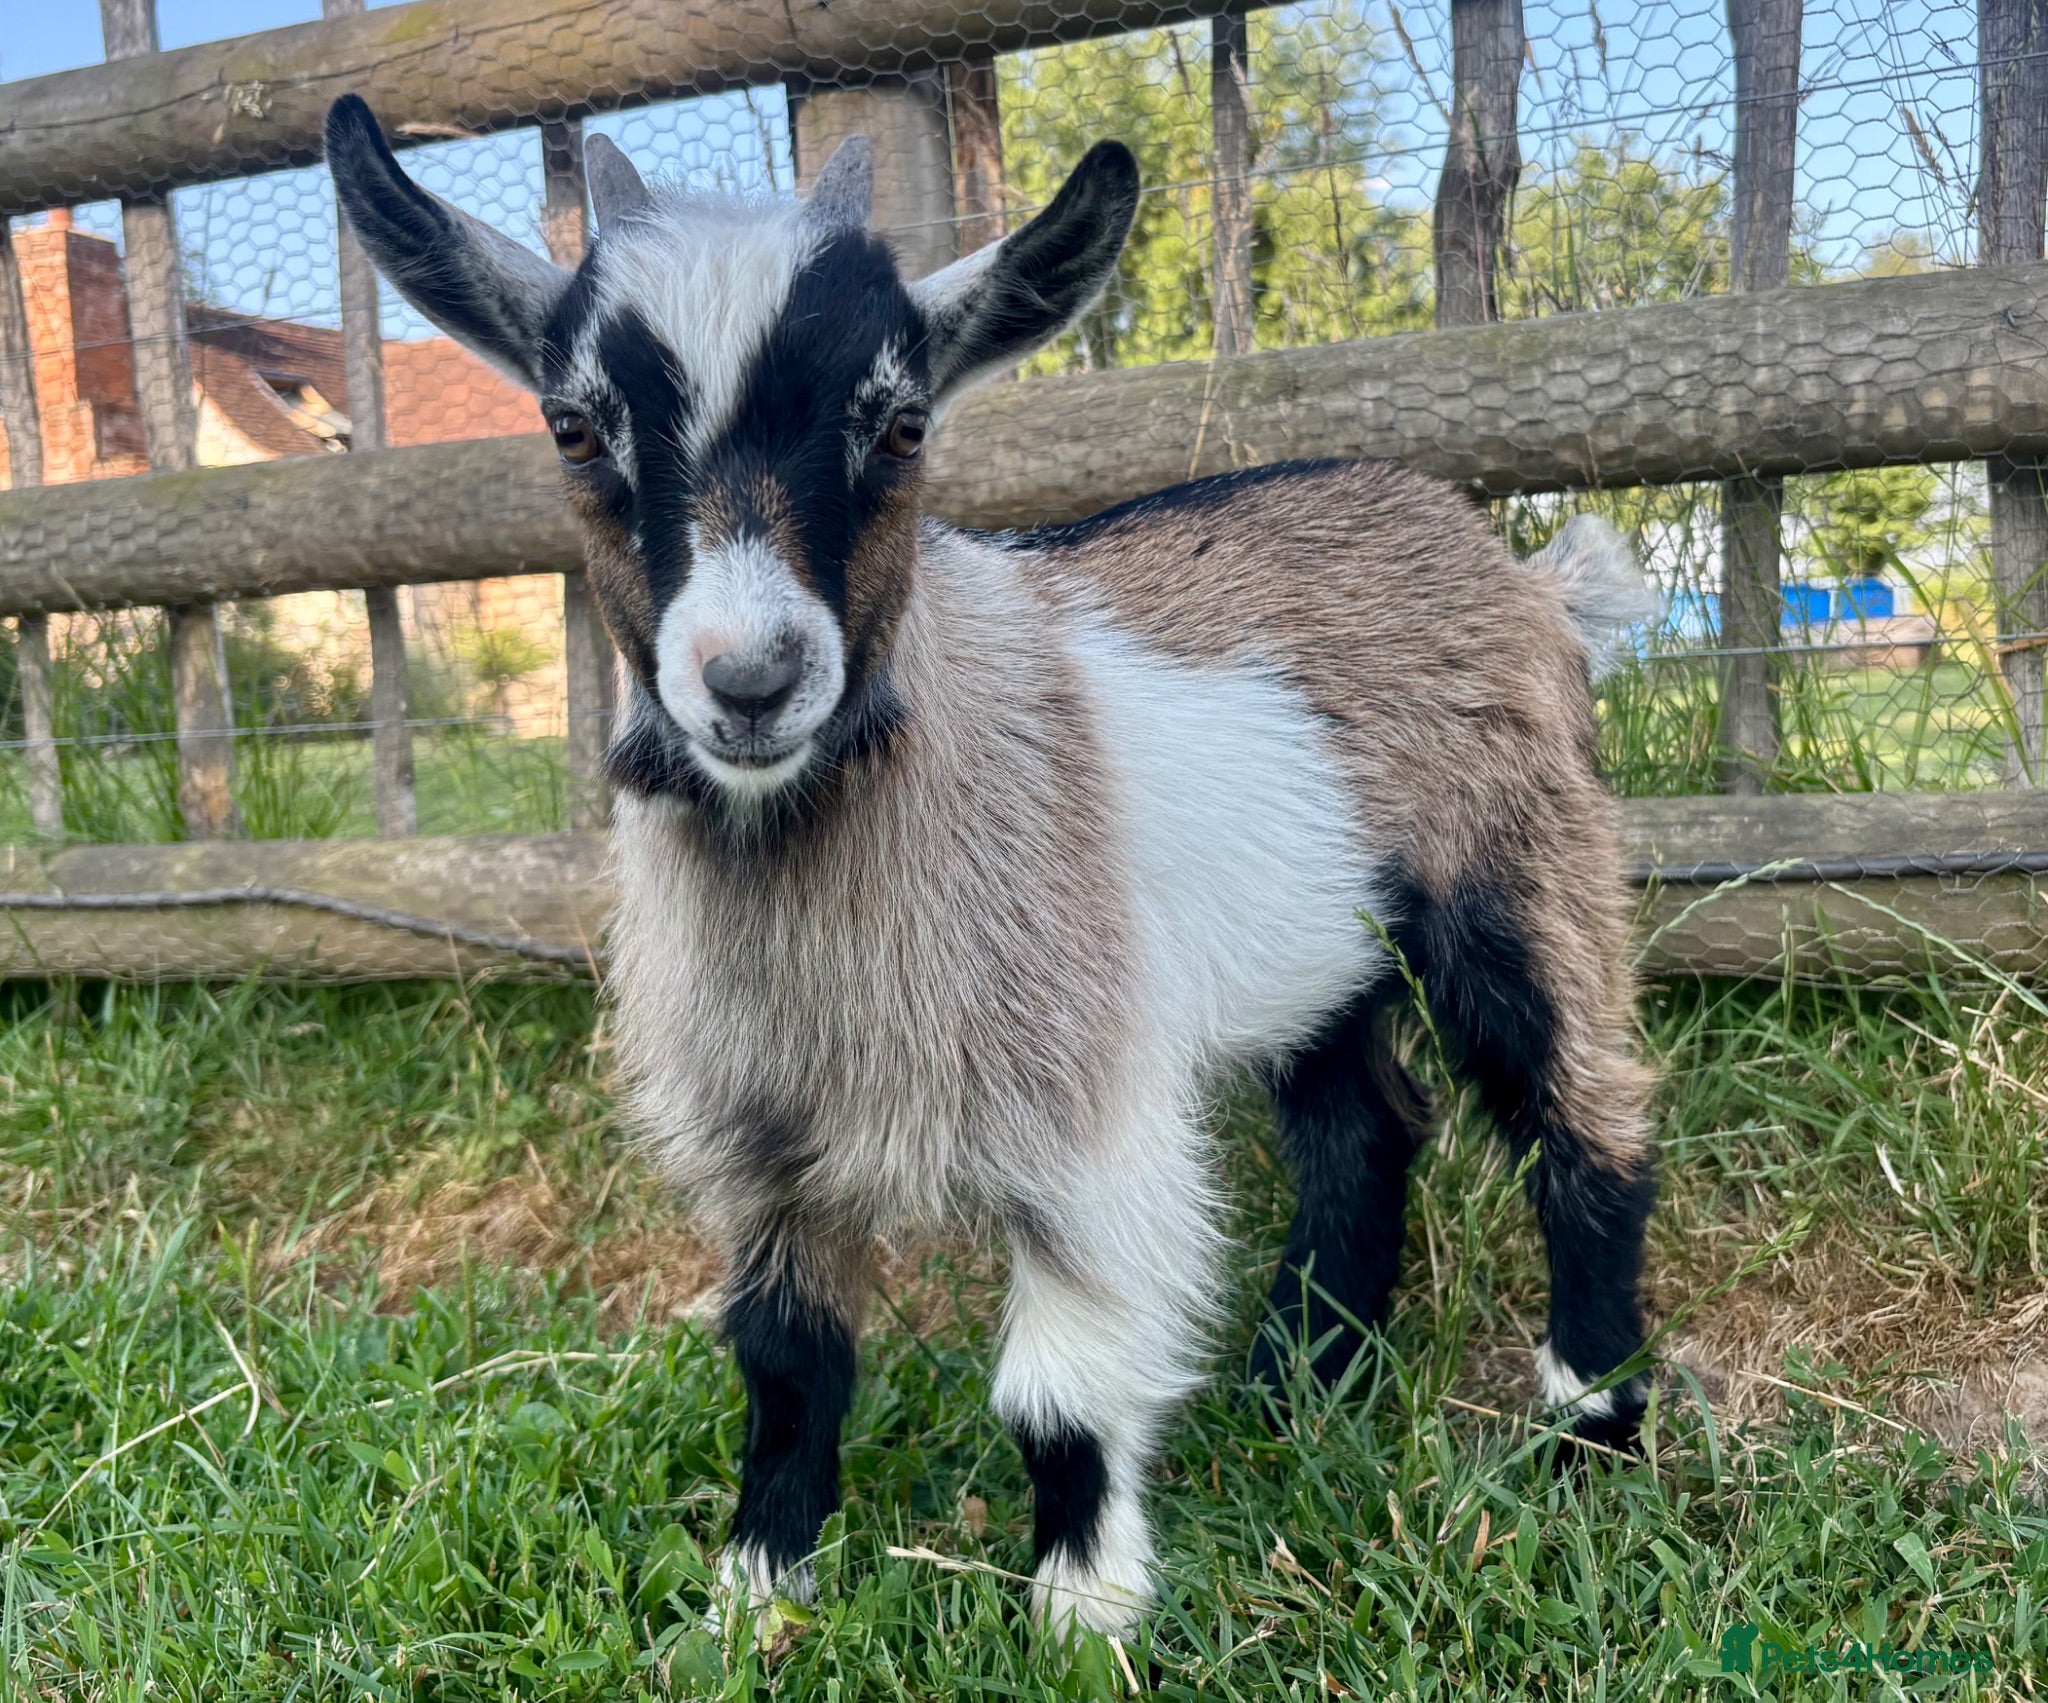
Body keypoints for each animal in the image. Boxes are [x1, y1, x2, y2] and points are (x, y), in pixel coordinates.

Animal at [326, 97, 1659, 1640]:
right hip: (1305, 948)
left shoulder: (1082, 1114)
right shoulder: (757, 1131)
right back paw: (1299, 1383)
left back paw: (1589, 1416)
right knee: (1364, 1125)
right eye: (572, 423)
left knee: (1581, 1110)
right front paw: (755, 1590)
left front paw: (1084, 1615)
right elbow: (785, 1363)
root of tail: (1522, 573)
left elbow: (1060, 1396)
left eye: (902, 423)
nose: (752, 679)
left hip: (1516, 857)